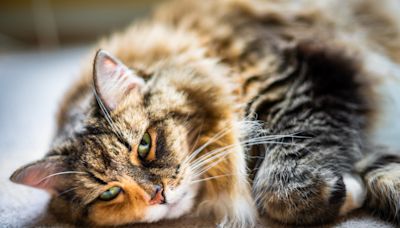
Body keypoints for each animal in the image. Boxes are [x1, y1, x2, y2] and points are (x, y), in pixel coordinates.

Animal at [7, 0, 400, 227]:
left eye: (145, 145)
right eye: (109, 194)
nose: (158, 195)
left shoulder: (299, 79)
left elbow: (281, 185)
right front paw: (353, 187)